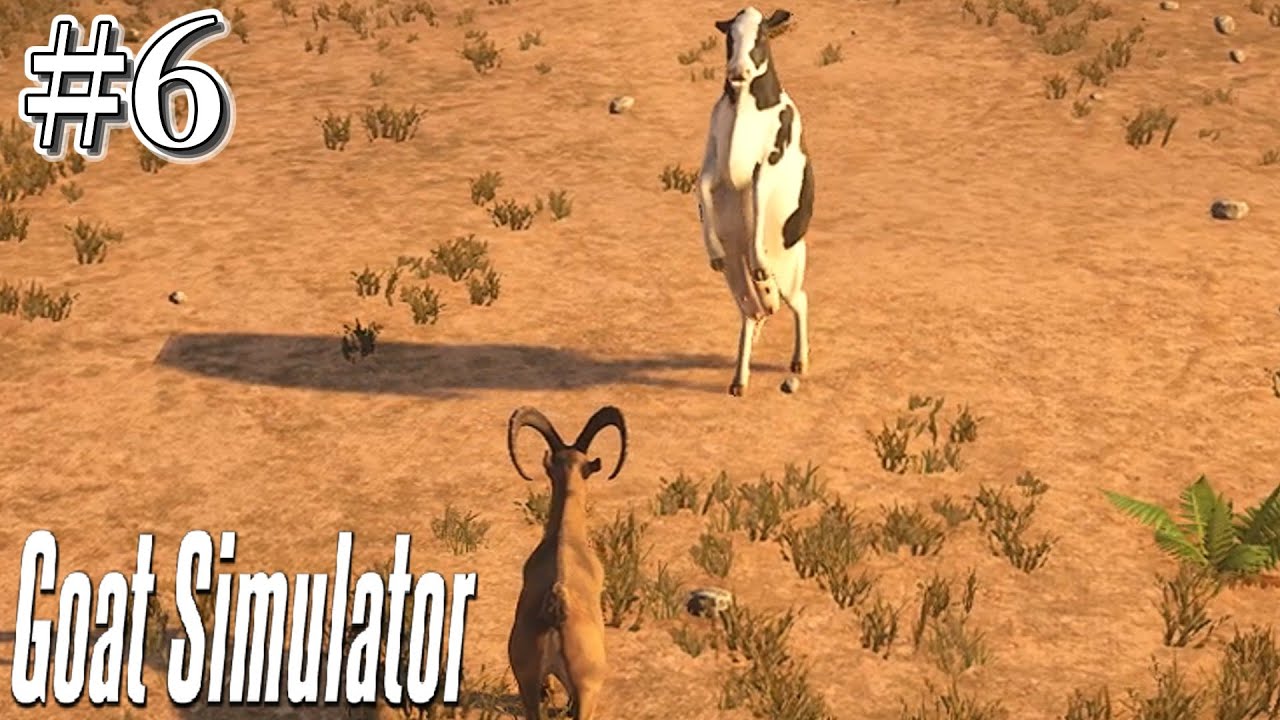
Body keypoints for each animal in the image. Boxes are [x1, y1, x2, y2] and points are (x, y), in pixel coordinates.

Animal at [697, 6, 815, 396]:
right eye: (729, 36)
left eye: (761, 36)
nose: (737, 73)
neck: (748, 107)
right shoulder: (713, 160)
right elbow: (700, 188)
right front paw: (714, 251)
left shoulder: (768, 162)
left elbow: (760, 199)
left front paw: (759, 257)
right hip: (737, 280)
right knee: (753, 313)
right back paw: (739, 380)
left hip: (790, 272)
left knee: (800, 301)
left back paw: (799, 361)